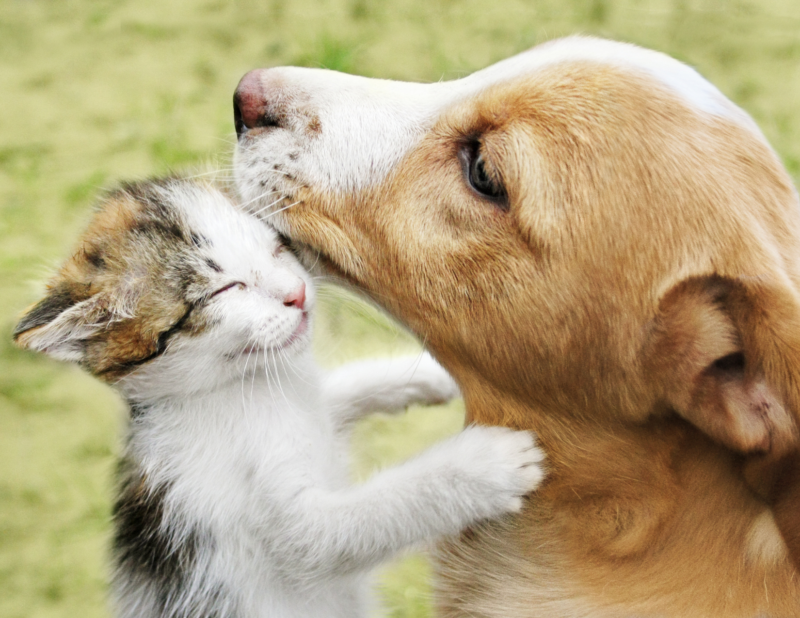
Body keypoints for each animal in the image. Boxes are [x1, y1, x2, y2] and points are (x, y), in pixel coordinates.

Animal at [15, 177, 548, 616]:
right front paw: (486, 464)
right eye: (225, 289)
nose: (297, 293)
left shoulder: (310, 397)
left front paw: (432, 377)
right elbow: (348, 527)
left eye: (275, 246)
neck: (241, 390)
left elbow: (340, 389)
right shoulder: (289, 530)